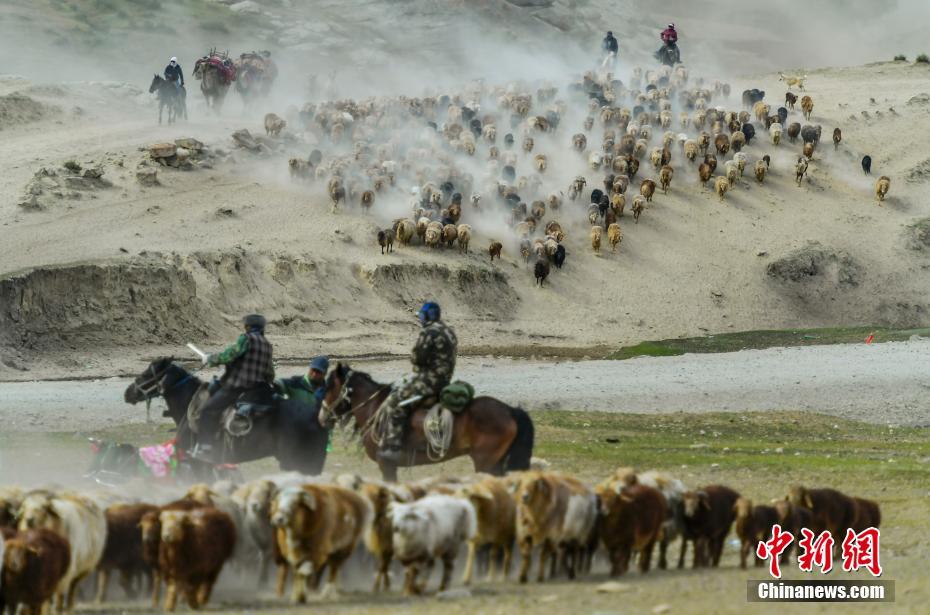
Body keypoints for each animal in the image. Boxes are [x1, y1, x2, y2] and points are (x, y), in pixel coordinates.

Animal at [322, 364, 532, 484]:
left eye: (329, 386)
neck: (374, 408)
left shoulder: (386, 465)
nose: (321, 416)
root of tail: (510, 410)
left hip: (486, 465)